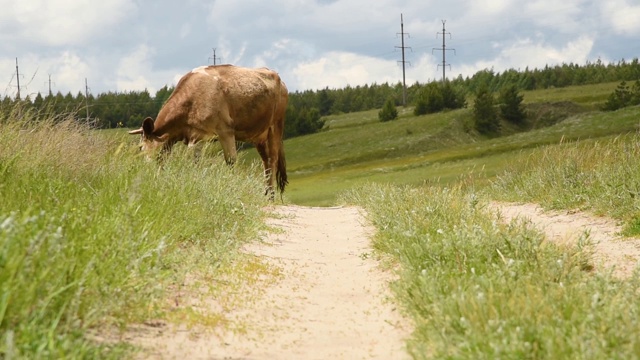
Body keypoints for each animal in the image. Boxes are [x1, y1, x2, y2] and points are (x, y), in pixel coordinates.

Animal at [129, 66, 288, 198]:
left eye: (141, 147)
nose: (145, 169)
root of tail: (278, 78)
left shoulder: (225, 130)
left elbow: (230, 161)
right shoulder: (197, 136)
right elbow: (196, 163)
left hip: (276, 126)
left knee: (272, 159)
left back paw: (271, 196)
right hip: (259, 136)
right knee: (265, 161)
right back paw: (266, 193)